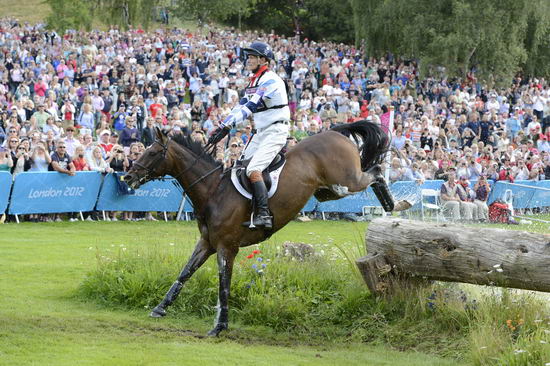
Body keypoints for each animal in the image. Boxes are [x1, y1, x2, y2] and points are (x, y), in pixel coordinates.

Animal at [124, 121, 410, 336]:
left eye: (152, 153)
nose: (127, 176)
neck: (214, 191)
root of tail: (336, 133)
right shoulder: (207, 243)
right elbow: (184, 273)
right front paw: (160, 308)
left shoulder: (227, 247)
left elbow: (223, 286)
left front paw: (220, 327)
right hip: (327, 191)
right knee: (371, 173)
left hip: (345, 182)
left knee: (375, 171)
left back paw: (398, 204)